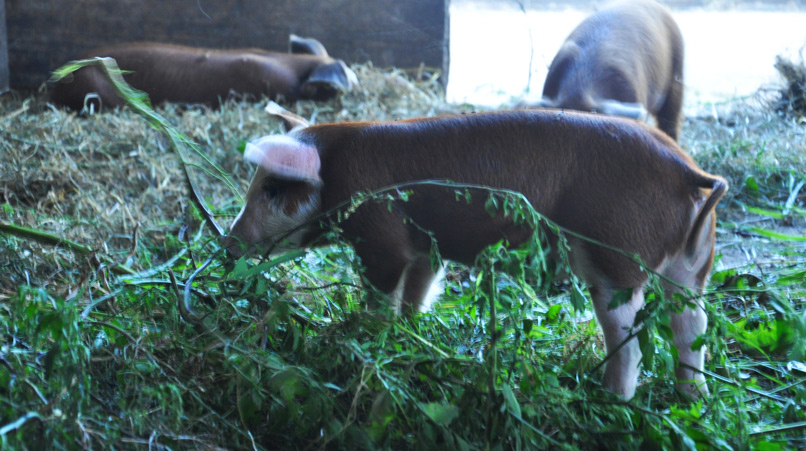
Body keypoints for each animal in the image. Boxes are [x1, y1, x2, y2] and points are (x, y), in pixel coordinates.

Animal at [224, 108, 727, 400]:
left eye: (272, 189)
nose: (228, 243)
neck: (338, 176)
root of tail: (687, 170)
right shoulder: (425, 246)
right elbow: (420, 289)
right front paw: (411, 333)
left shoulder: (381, 237)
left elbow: (381, 294)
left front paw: (367, 337)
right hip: (691, 266)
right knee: (691, 325)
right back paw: (692, 397)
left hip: (617, 255)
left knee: (629, 336)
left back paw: (605, 394)